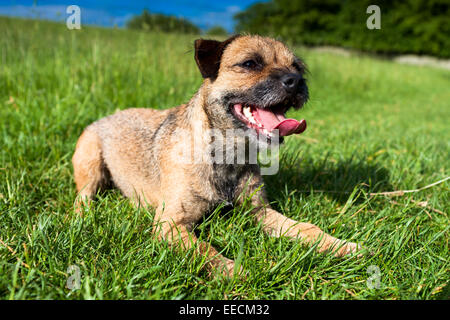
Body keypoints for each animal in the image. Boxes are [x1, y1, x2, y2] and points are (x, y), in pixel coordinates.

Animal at [74, 34, 362, 276]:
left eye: (298, 68)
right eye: (250, 63)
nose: (296, 81)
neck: (228, 152)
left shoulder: (259, 211)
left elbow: (306, 227)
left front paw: (341, 245)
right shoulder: (170, 224)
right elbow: (204, 249)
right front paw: (233, 271)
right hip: (90, 161)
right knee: (83, 195)